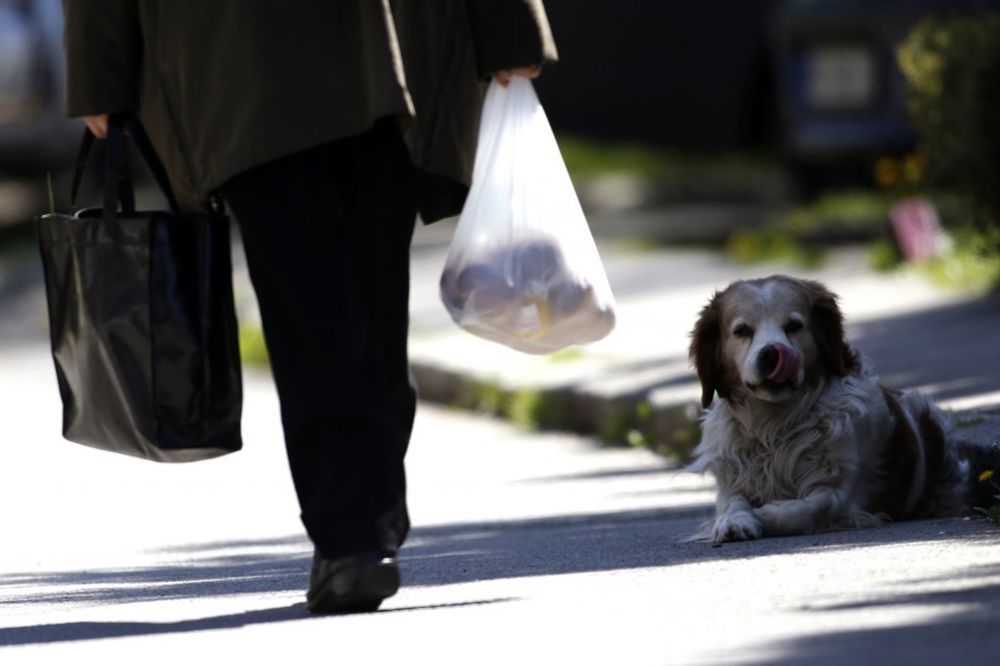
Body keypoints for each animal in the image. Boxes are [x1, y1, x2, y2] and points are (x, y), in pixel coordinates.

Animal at [684, 274, 988, 540]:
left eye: (793, 326)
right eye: (742, 331)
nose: (771, 354)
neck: (774, 423)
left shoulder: (843, 491)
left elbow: (810, 509)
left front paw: (767, 514)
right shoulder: (733, 479)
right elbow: (733, 503)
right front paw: (734, 521)